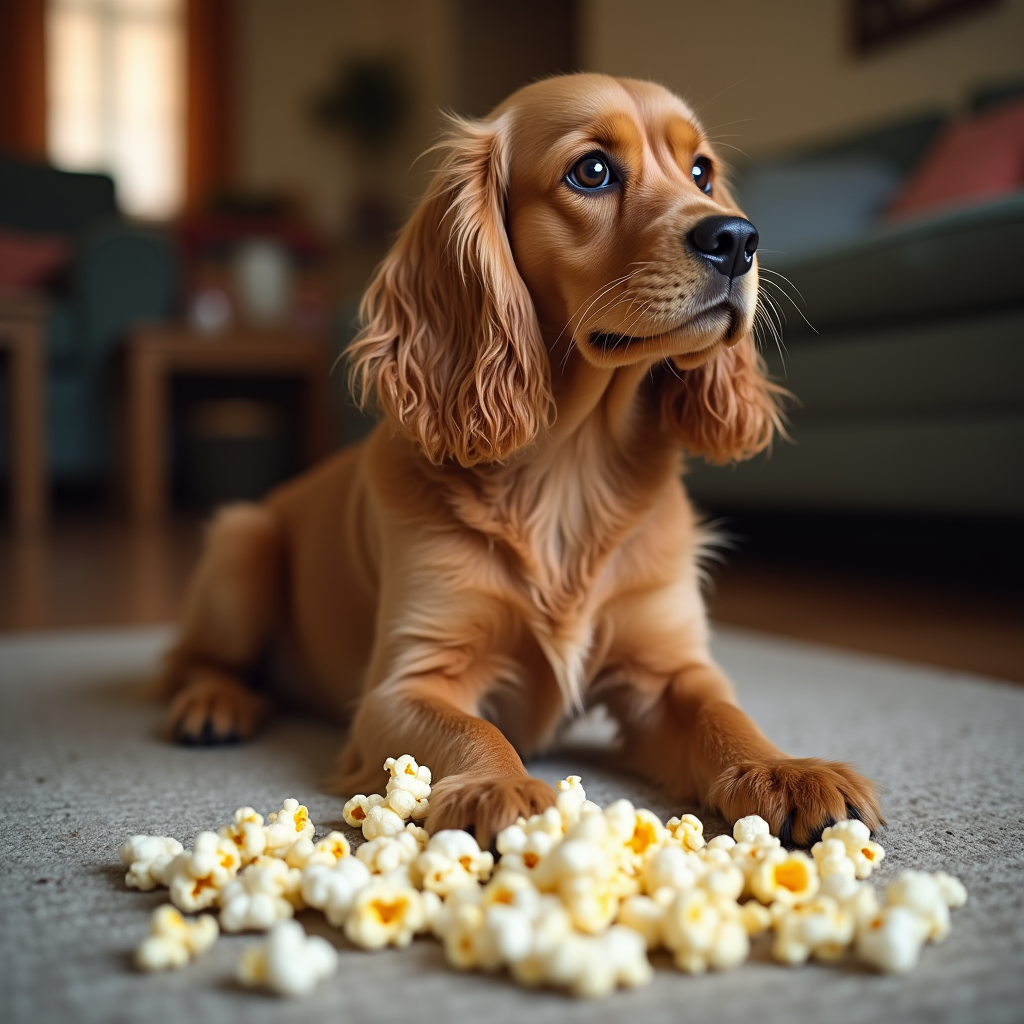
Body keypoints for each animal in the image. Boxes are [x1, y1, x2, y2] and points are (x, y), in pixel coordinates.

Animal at [159, 68, 880, 843]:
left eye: (701, 172)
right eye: (591, 171)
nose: (738, 238)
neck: (569, 468)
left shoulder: (668, 669)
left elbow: (725, 714)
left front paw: (787, 770)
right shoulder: (408, 679)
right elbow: (474, 731)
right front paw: (499, 788)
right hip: (244, 542)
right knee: (188, 658)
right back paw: (213, 703)